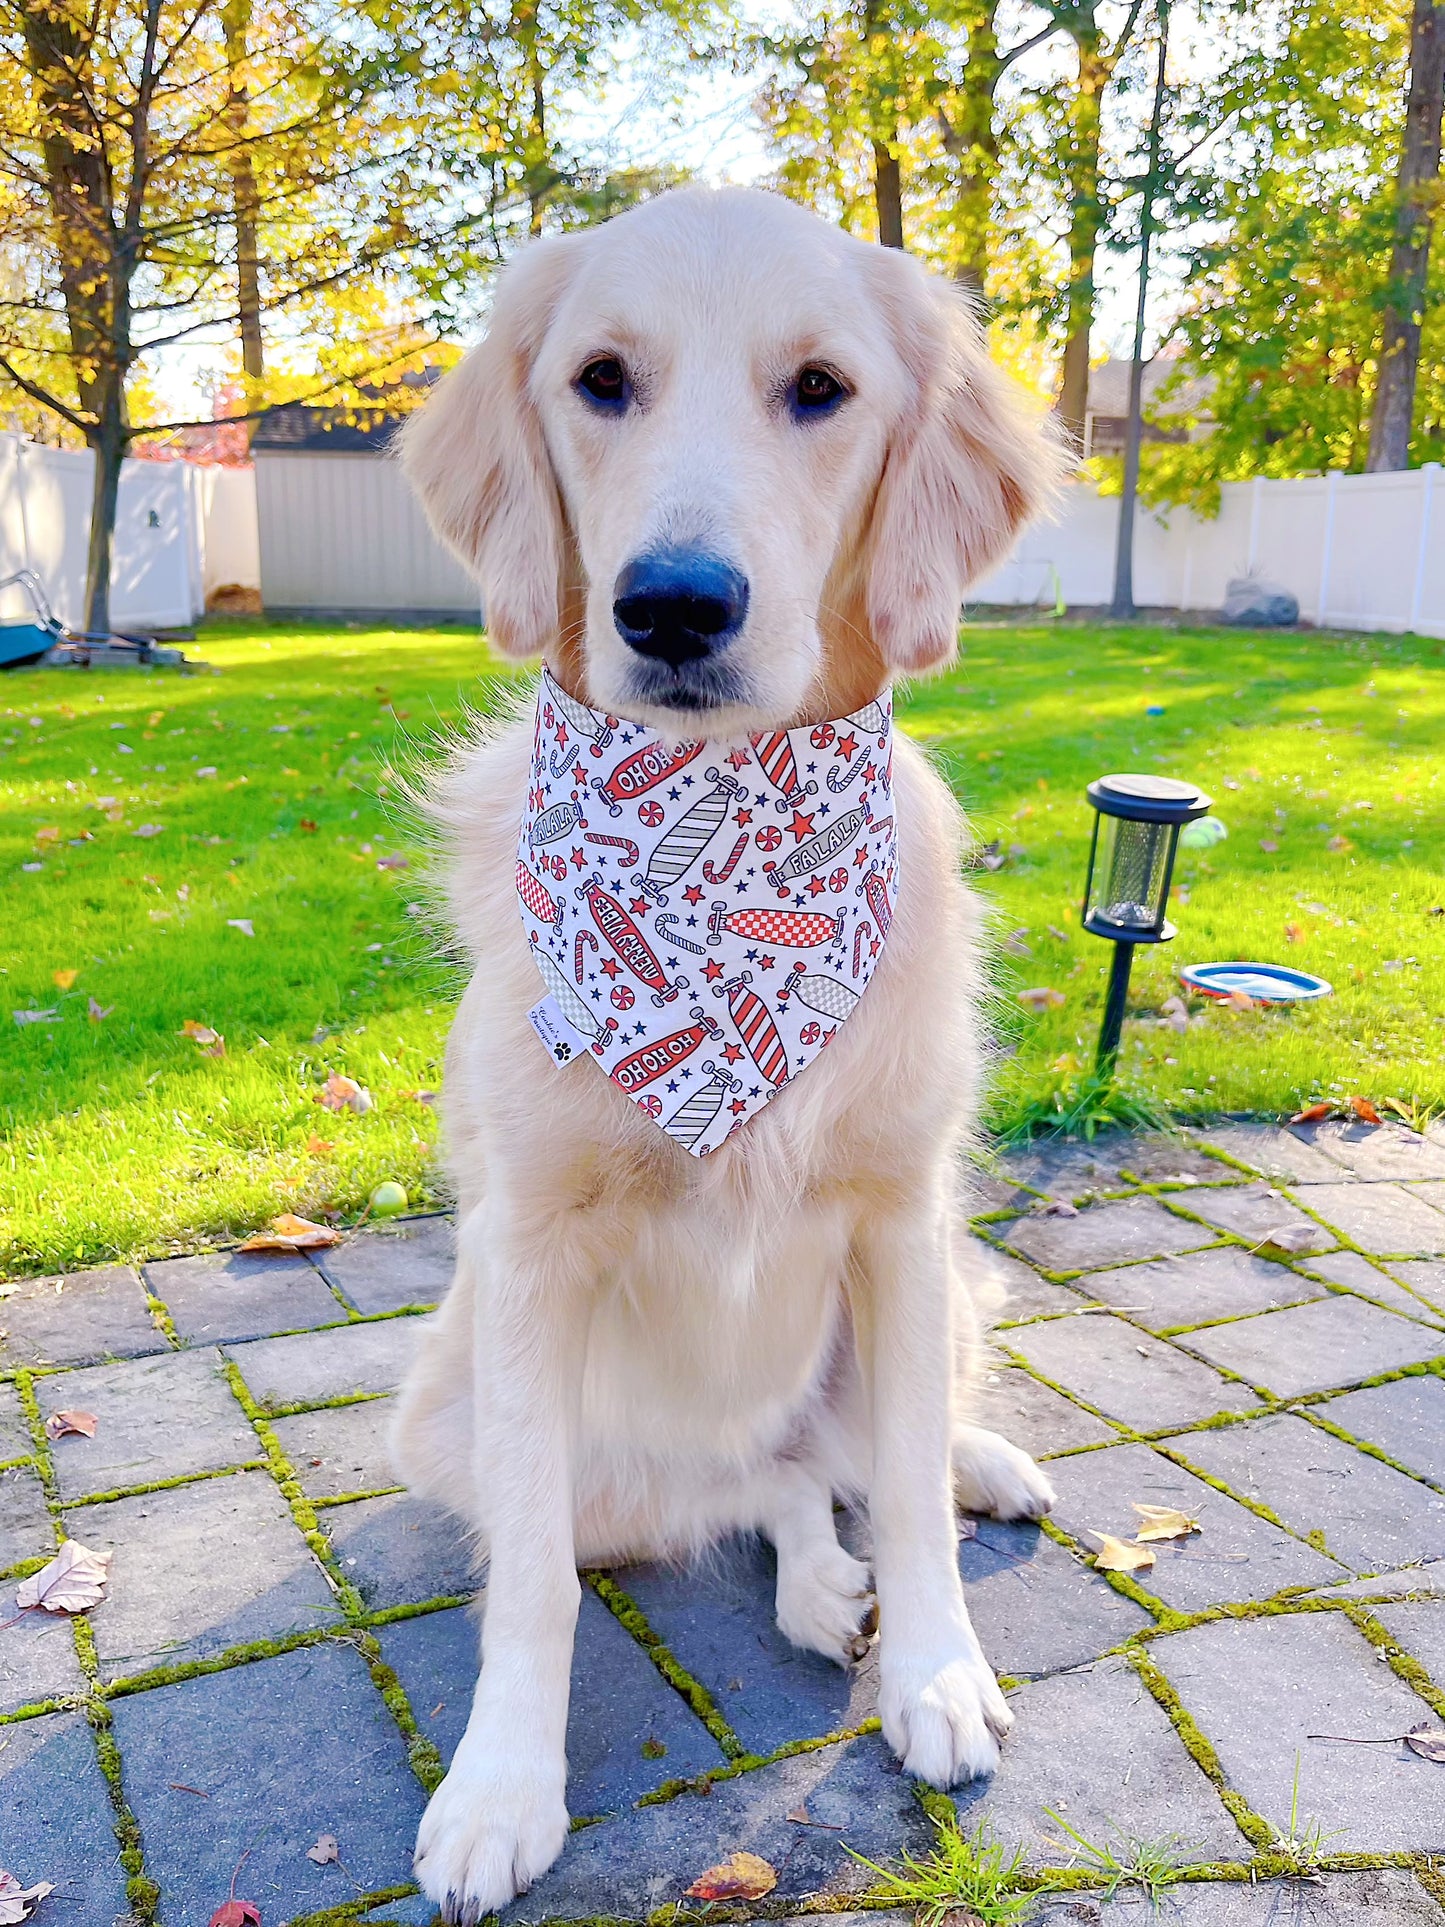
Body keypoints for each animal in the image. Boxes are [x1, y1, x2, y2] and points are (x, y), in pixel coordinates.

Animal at [396, 184, 1063, 1927]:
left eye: (820, 389)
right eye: (601, 380)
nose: (675, 603)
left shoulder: (900, 1214)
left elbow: (906, 1489)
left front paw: (939, 1674)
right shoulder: (528, 1251)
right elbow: (534, 1592)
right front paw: (499, 1788)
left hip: (946, 1275)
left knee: (858, 1453)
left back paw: (966, 1475)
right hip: (469, 1412)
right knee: (753, 1486)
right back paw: (820, 1585)